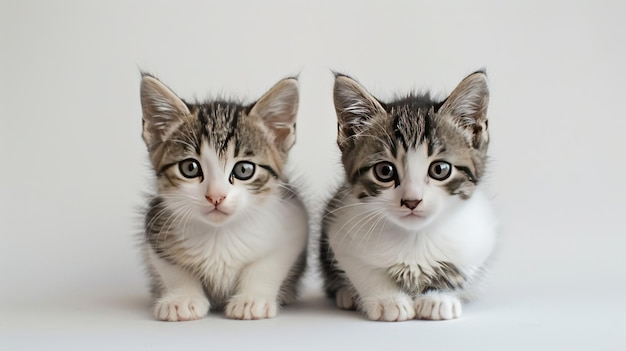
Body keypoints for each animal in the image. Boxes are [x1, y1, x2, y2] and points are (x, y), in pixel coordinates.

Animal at [140, 74, 308, 322]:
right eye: (190, 168)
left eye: (244, 170)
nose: (215, 196)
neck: (219, 234)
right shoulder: (155, 225)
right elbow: (173, 268)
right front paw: (182, 299)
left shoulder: (293, 220)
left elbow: (266, 265)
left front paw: (251, 299)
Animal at [320, 71, 494, 322]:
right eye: (385, 171)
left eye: (440, 169)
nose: (412, 200)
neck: (415, 237)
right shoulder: (340, 231)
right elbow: (364, 270)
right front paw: (388, 300)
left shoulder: (479, 239)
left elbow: (458, 270)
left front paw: (438, 298)